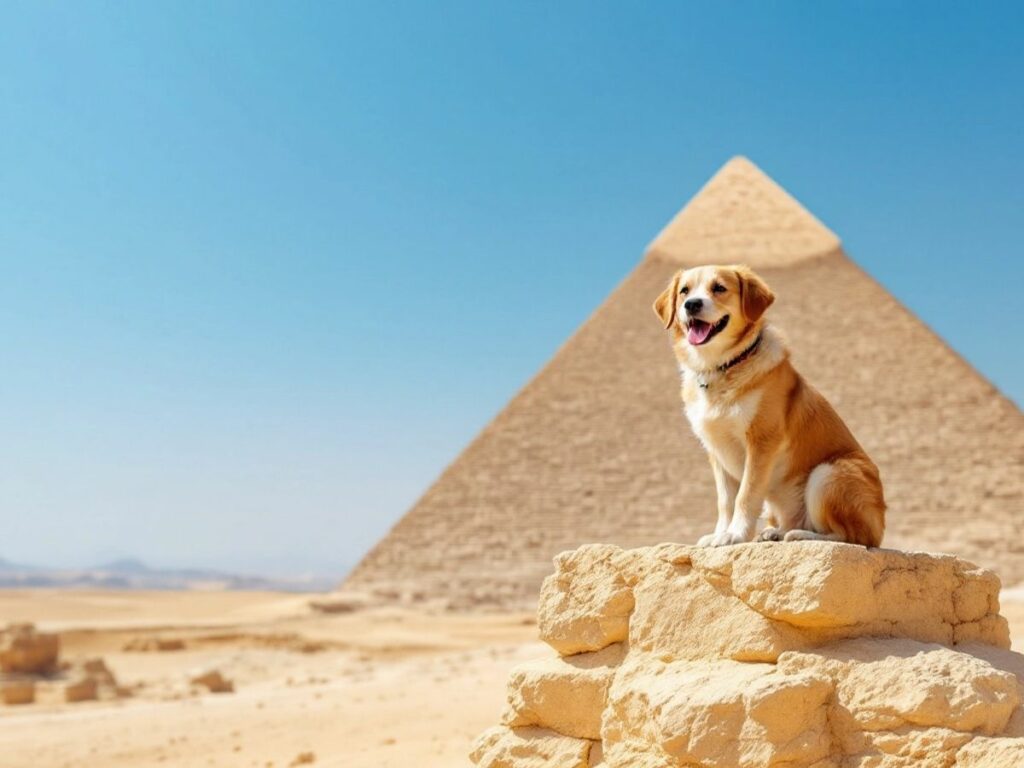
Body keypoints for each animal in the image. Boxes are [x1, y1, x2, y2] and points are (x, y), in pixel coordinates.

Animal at [655, 264, 888, 548]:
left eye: (719, 288)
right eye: (684, 291)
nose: (692, 304)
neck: (723, 367)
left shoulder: (762, 441)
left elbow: (746, 494)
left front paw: (736, 534)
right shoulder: (716, 449)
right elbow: (725, 501)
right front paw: (720, 533)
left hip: (828, 473)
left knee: (853, 537)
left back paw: (801, 535)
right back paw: (775, 532)